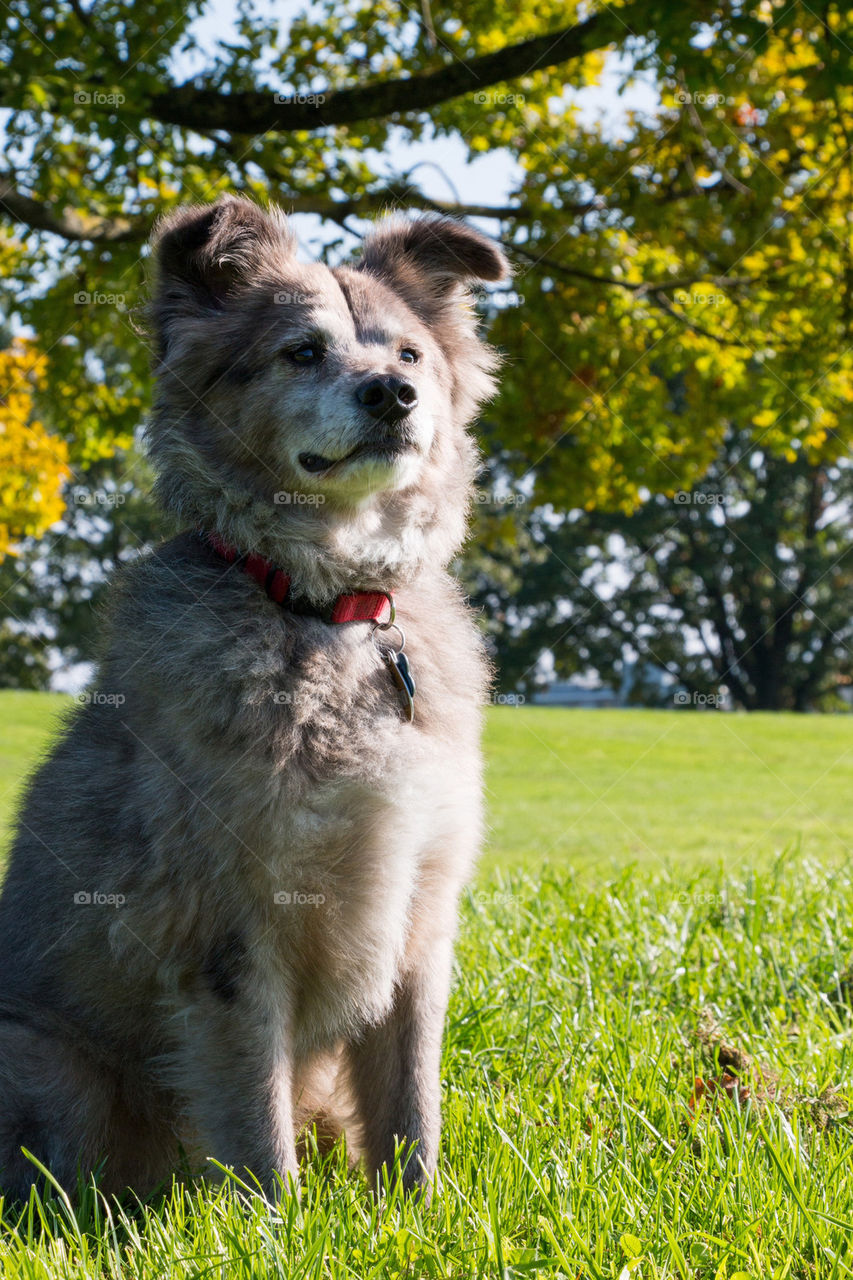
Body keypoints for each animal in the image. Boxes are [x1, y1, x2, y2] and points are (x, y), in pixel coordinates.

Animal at [0, 197, 504, 1198]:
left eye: (409, 355)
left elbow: (410, 1100)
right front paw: (276, 1219)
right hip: (40, 1058)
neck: (328, 613)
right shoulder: (229, 929)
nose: (391, 395)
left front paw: (418, 1210)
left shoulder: (422, 917)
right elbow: (254, 1112)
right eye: (301, 352)